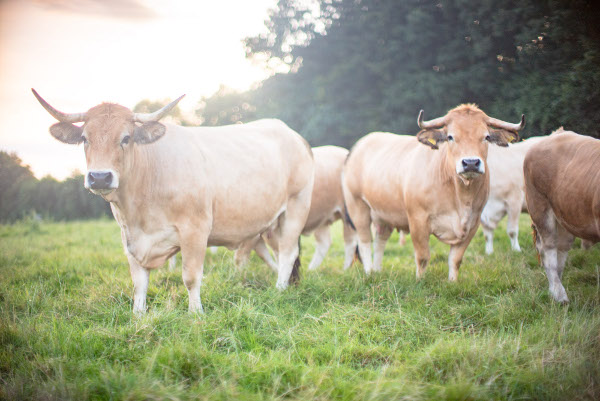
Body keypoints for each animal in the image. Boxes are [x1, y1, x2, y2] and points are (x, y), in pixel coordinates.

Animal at [31, 89, 314, 314]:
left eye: (126, 138)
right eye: (84, 139)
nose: (100, 177)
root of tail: (295, 136)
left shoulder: (195, 230)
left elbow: (190, 276)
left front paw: (196, 313)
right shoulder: (128, 236)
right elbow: (139, 281)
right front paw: (138, 315)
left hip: (296, 208)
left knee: (288, 253)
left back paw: (279, 290)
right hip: (273, 222)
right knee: (280, 254)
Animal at [342, 104, 524, 280]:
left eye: (486, 137)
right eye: (450, 137)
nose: (471, 163)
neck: (460, 197)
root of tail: (360, 145)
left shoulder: (473, 222)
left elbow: (455, 259)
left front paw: (452, 282)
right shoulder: (418, 220)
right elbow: (423, 257)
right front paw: (420, 281)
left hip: (384, 214)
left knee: (380, 241)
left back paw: (378, 271)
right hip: (357, 207)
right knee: (365, 242)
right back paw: (369, 272)